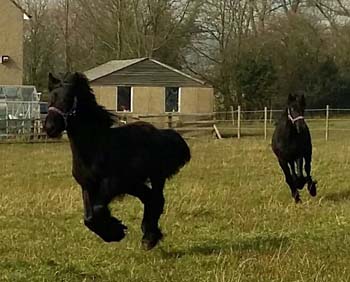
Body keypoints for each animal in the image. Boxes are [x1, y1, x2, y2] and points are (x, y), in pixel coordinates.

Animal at [44, 72, 191, 249]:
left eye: (67, 99)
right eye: (50, 99)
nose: (50, 127)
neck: (95, 147)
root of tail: (160, 133)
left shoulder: (111, 183)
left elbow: (97, 210)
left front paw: (116, 231)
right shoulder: (87, 186)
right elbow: (88, 217)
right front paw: (113, 231)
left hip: (155, 177)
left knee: (156, 199)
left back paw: (149, 238)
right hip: (133, 183)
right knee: (149, 198)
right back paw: (148, 234)